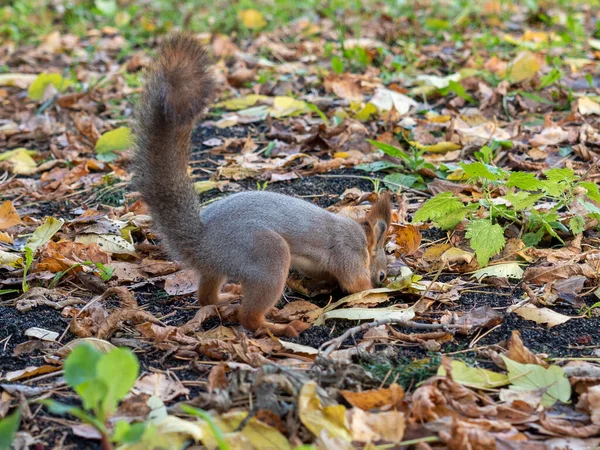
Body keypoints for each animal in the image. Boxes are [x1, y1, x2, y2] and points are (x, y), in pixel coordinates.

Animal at [133, 33, 392, 338]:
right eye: (382, 274)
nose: (384, 280)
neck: (363, 237)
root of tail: (201, 241)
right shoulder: (348, 251)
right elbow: (355, 284)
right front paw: (371, 292)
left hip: (219, 267)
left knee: (206, 297)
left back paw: (227, 296)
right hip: (266, 255)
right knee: (249, 318)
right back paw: (281, 326)